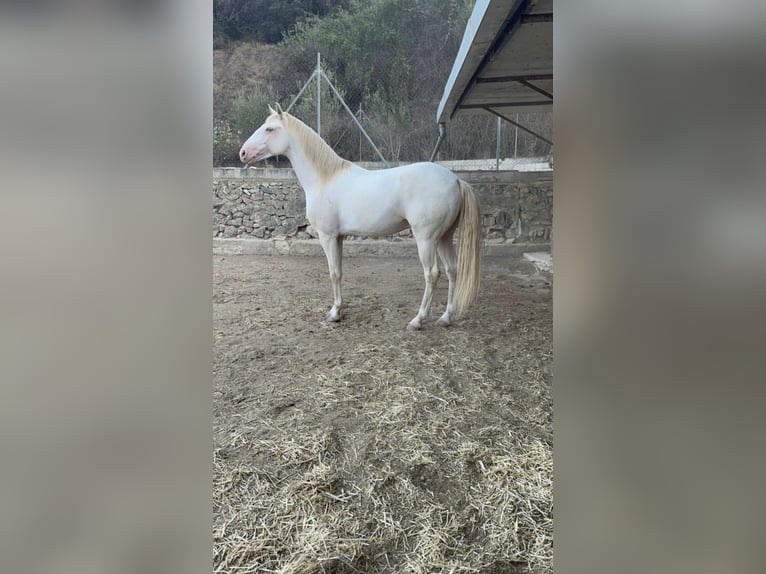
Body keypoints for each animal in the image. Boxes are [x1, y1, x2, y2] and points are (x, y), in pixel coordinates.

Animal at [240, 102, 484, 328]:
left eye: (270, 129)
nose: (243, 153)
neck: (325, 179)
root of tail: (455, 180)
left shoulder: (327, 236)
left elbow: (333, 273)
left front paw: (334, 314)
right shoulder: (338, 237)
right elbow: (339, 272)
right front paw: (338, 310)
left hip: (427, 239)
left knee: (432, 274)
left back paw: (418, 320)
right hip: (444, 237)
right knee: (453, 270)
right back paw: (445, 318)